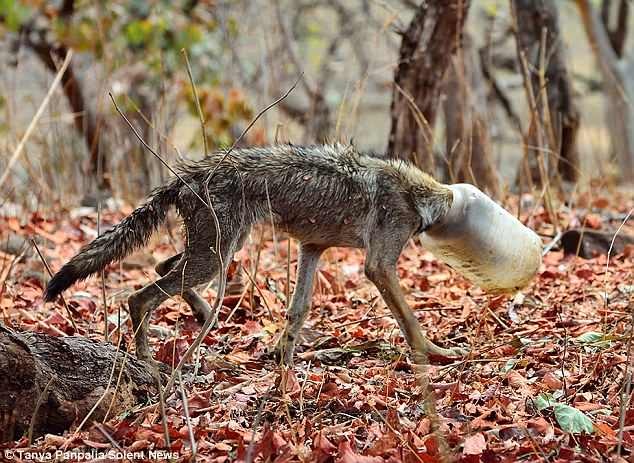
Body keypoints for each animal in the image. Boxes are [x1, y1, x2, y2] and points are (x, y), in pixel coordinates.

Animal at [43, 143, 464, 368]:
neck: (418, 195)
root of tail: (183, 177)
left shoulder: (312, 249)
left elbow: (298, 310)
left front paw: (284, 360)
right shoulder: (379, 266)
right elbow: (411, 320)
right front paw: (436, 353)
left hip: (219, 253)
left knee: (163, 269)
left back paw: (203, 314)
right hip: (214, 258)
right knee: (139, 297)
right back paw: (148, 361)